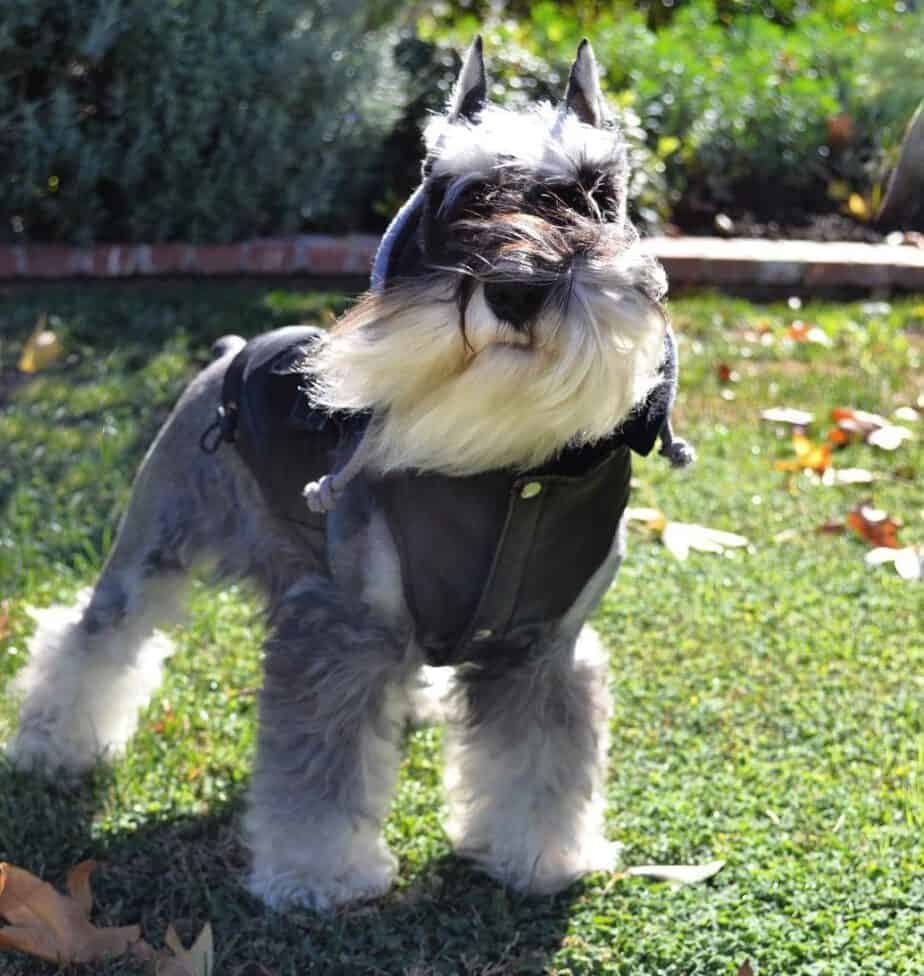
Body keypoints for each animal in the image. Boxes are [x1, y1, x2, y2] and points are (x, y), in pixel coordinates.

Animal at [7, 36, 688, 908]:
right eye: (453, 194)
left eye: (592, 192)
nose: (514, 286)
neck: (507, 465)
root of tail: (232, 352)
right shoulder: (340, 628)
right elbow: (319, 771)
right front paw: (318, 875)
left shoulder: (546, 648)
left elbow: (541, 762)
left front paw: (541, 856)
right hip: (154, 544)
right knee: (94, 637)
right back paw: (51, 747)